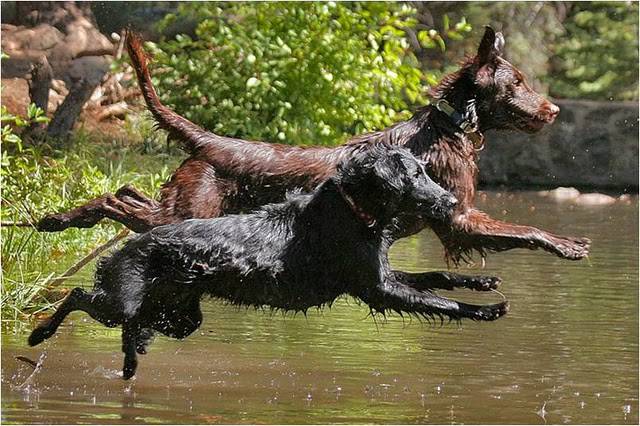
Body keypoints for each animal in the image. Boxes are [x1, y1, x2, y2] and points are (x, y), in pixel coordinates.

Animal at [28, 145, 510, 378]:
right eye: (415, 175)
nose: (451, 201)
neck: (352, 208)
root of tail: (129, 246)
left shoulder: (381, 275)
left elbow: (437, 276)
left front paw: (483, 285)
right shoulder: (377, 289)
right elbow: (438, 302)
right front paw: (486, 311)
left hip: (180, 317)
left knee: (135, 324)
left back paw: (133, 357)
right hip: (122, 299)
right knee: (78, 295)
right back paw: (39, 334)